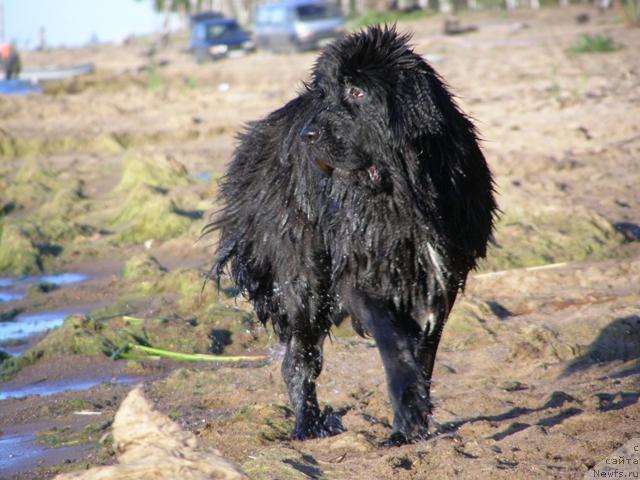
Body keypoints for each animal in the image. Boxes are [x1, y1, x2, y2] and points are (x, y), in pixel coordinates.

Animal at [208, 25, 498, 446]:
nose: (309, 134)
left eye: (358, 92)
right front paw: (406, 413)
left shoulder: (439, 275)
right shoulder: (360, 267)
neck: (402, 198)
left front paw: (414, 417)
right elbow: (392, 341)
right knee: (300, 357)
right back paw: (308, 425)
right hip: (301, 273)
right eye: (325, 94)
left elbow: (424, 347)